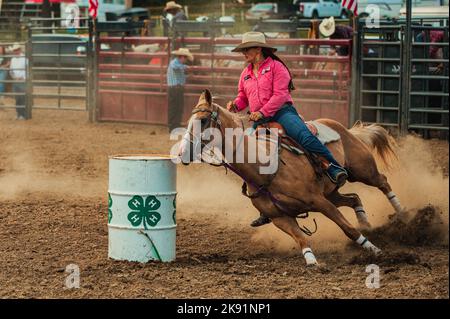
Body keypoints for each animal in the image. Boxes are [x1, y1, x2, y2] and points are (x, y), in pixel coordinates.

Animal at [178, 89, 402, 268]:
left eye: (203, 120)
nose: (182, 153)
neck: (266, 168)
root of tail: (343, 127)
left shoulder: (319, 202)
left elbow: (348, 229)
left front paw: (374, 250)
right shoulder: (281, 218)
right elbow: (301, 238)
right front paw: (312, 261)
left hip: (362, 171)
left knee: (383, 182)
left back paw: (401, 212)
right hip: (332, 192)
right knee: (354, 197)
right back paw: (366, 223)